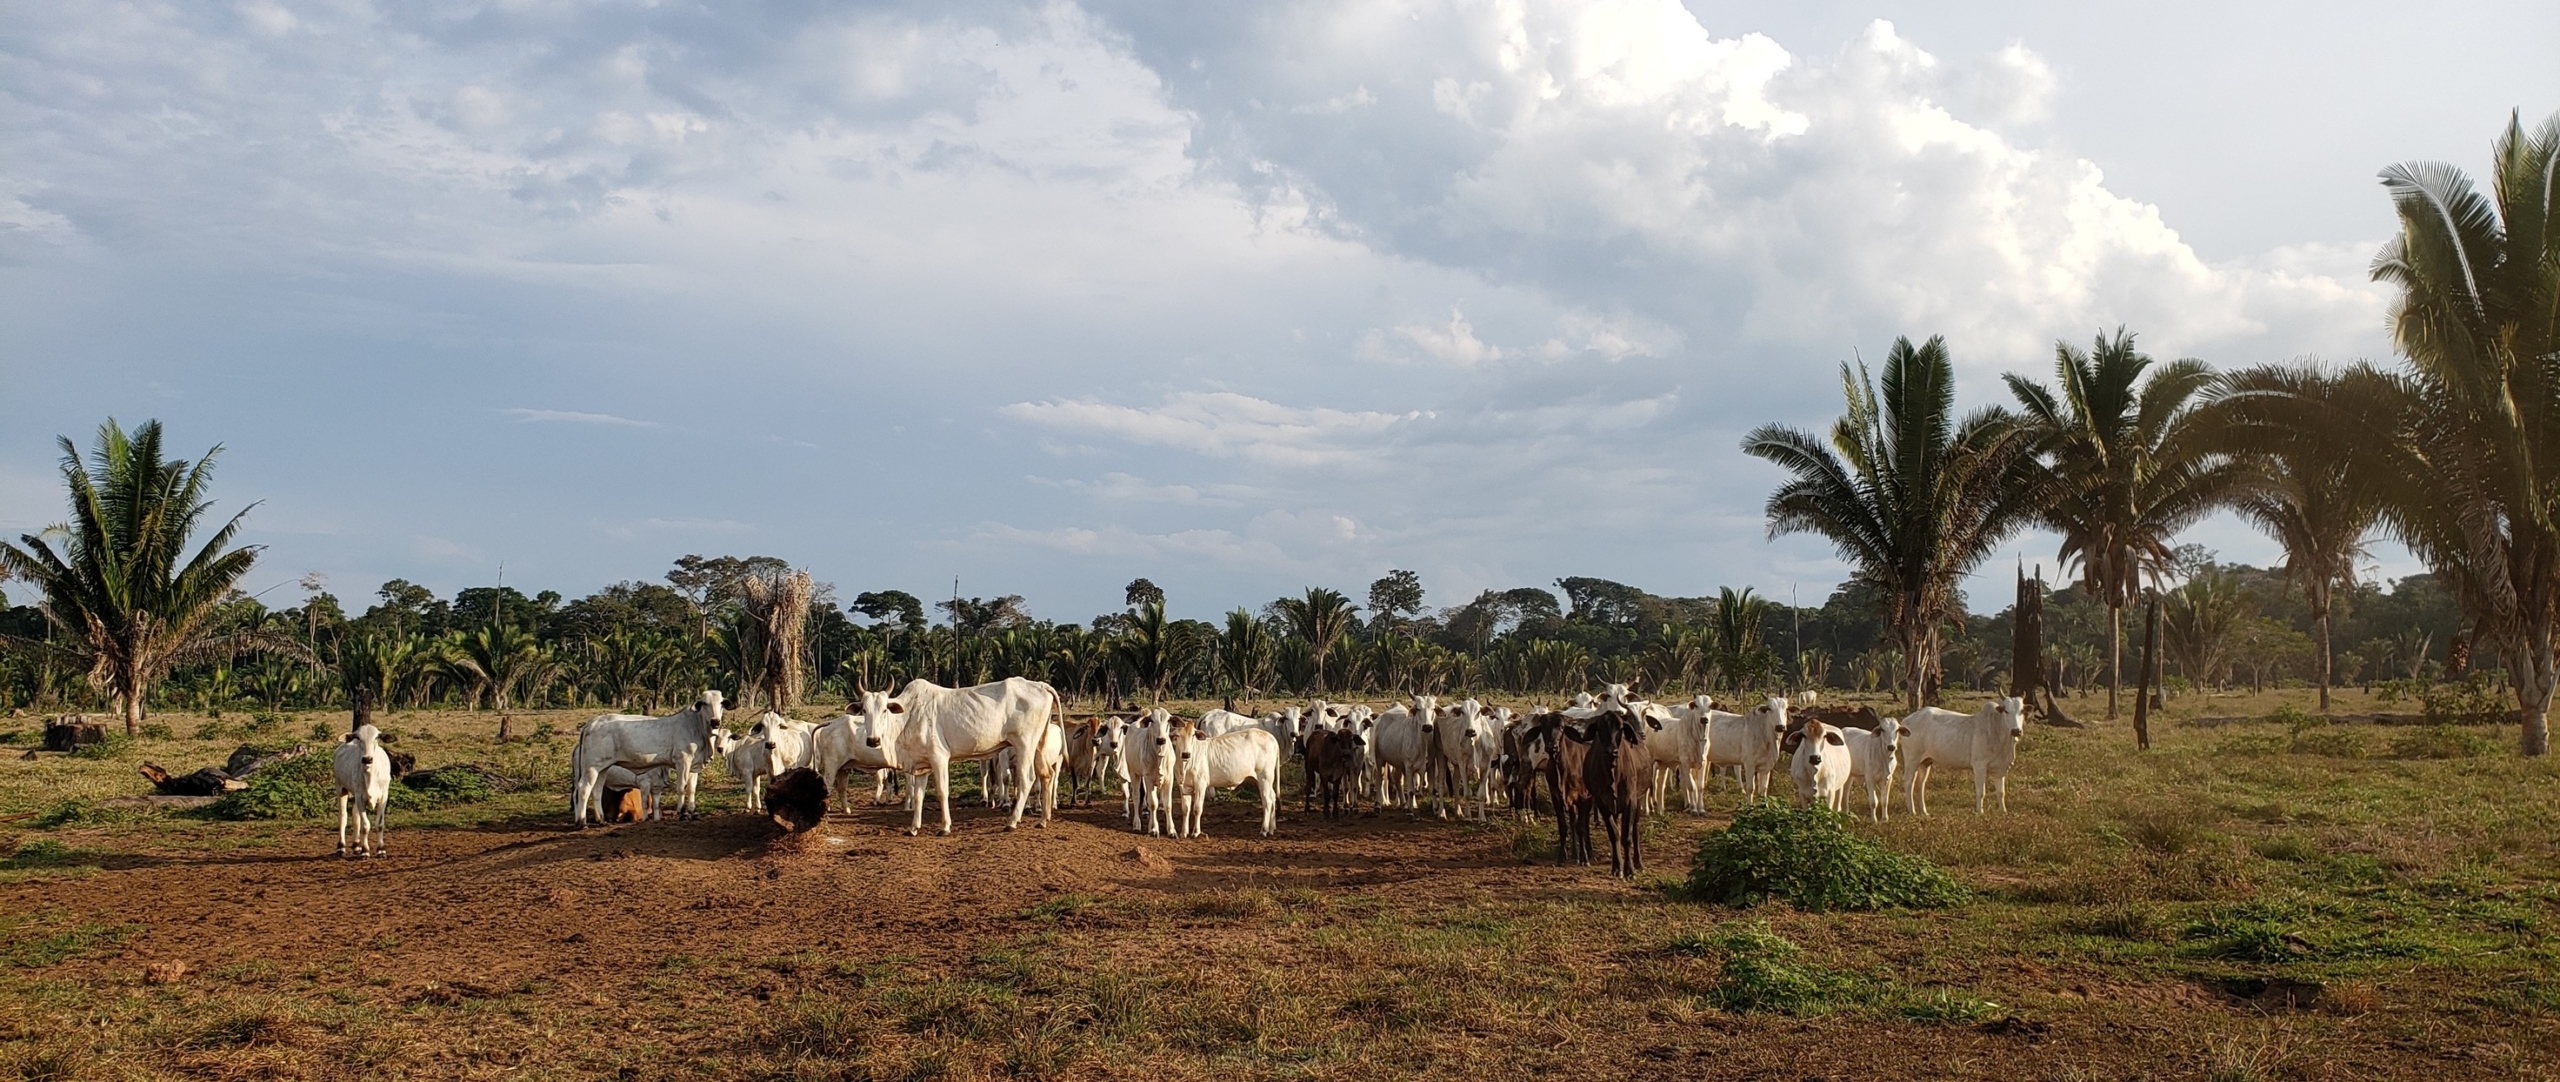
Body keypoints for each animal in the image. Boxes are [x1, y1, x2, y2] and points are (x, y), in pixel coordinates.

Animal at [571, 691, 725, 827]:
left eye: (721, 703)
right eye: (705, 703)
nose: (715, 722)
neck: (696, 726)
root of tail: (591, 724)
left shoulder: (694, 765)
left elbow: (691, 789)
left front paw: (694, 813)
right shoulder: (682, 760)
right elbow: (681, 787)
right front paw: (683, 814)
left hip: (602, 768)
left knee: (596, 790)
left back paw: (601, 820)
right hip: (591, 767)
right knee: (583, 789)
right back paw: (582, 822)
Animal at [888, 677, 1063, 835]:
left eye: (884, 710)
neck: (910, 714)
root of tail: (1041, 685)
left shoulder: (939, 757)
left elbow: (942, 792)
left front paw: (945, 827)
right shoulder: (921, 764)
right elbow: (919, 795)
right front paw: (913, 828)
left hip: (1025, 744)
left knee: (1027, 779)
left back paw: (1012, 822)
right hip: (1038, 746)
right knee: (1047, 774)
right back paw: (1043, 819)